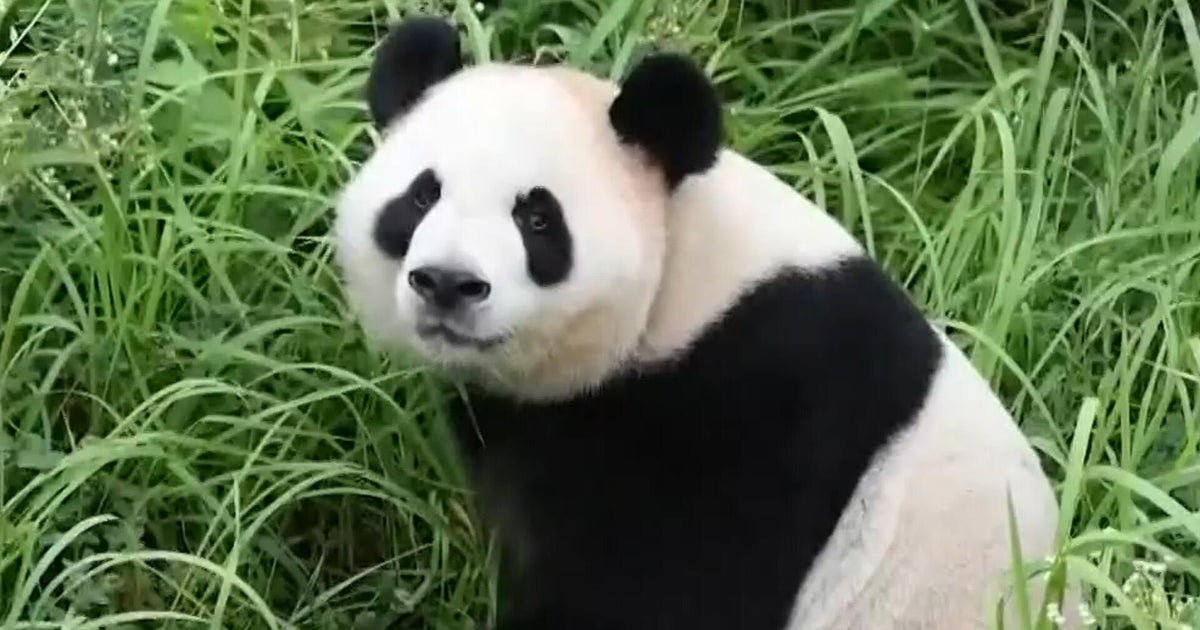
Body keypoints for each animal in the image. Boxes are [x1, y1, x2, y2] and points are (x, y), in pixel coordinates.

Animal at [333, 16, 1075, 630]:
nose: (447, 283)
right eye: (422, 195)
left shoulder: (752, 417)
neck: (683, 292)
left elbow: (665, 599)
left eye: (537, 217)